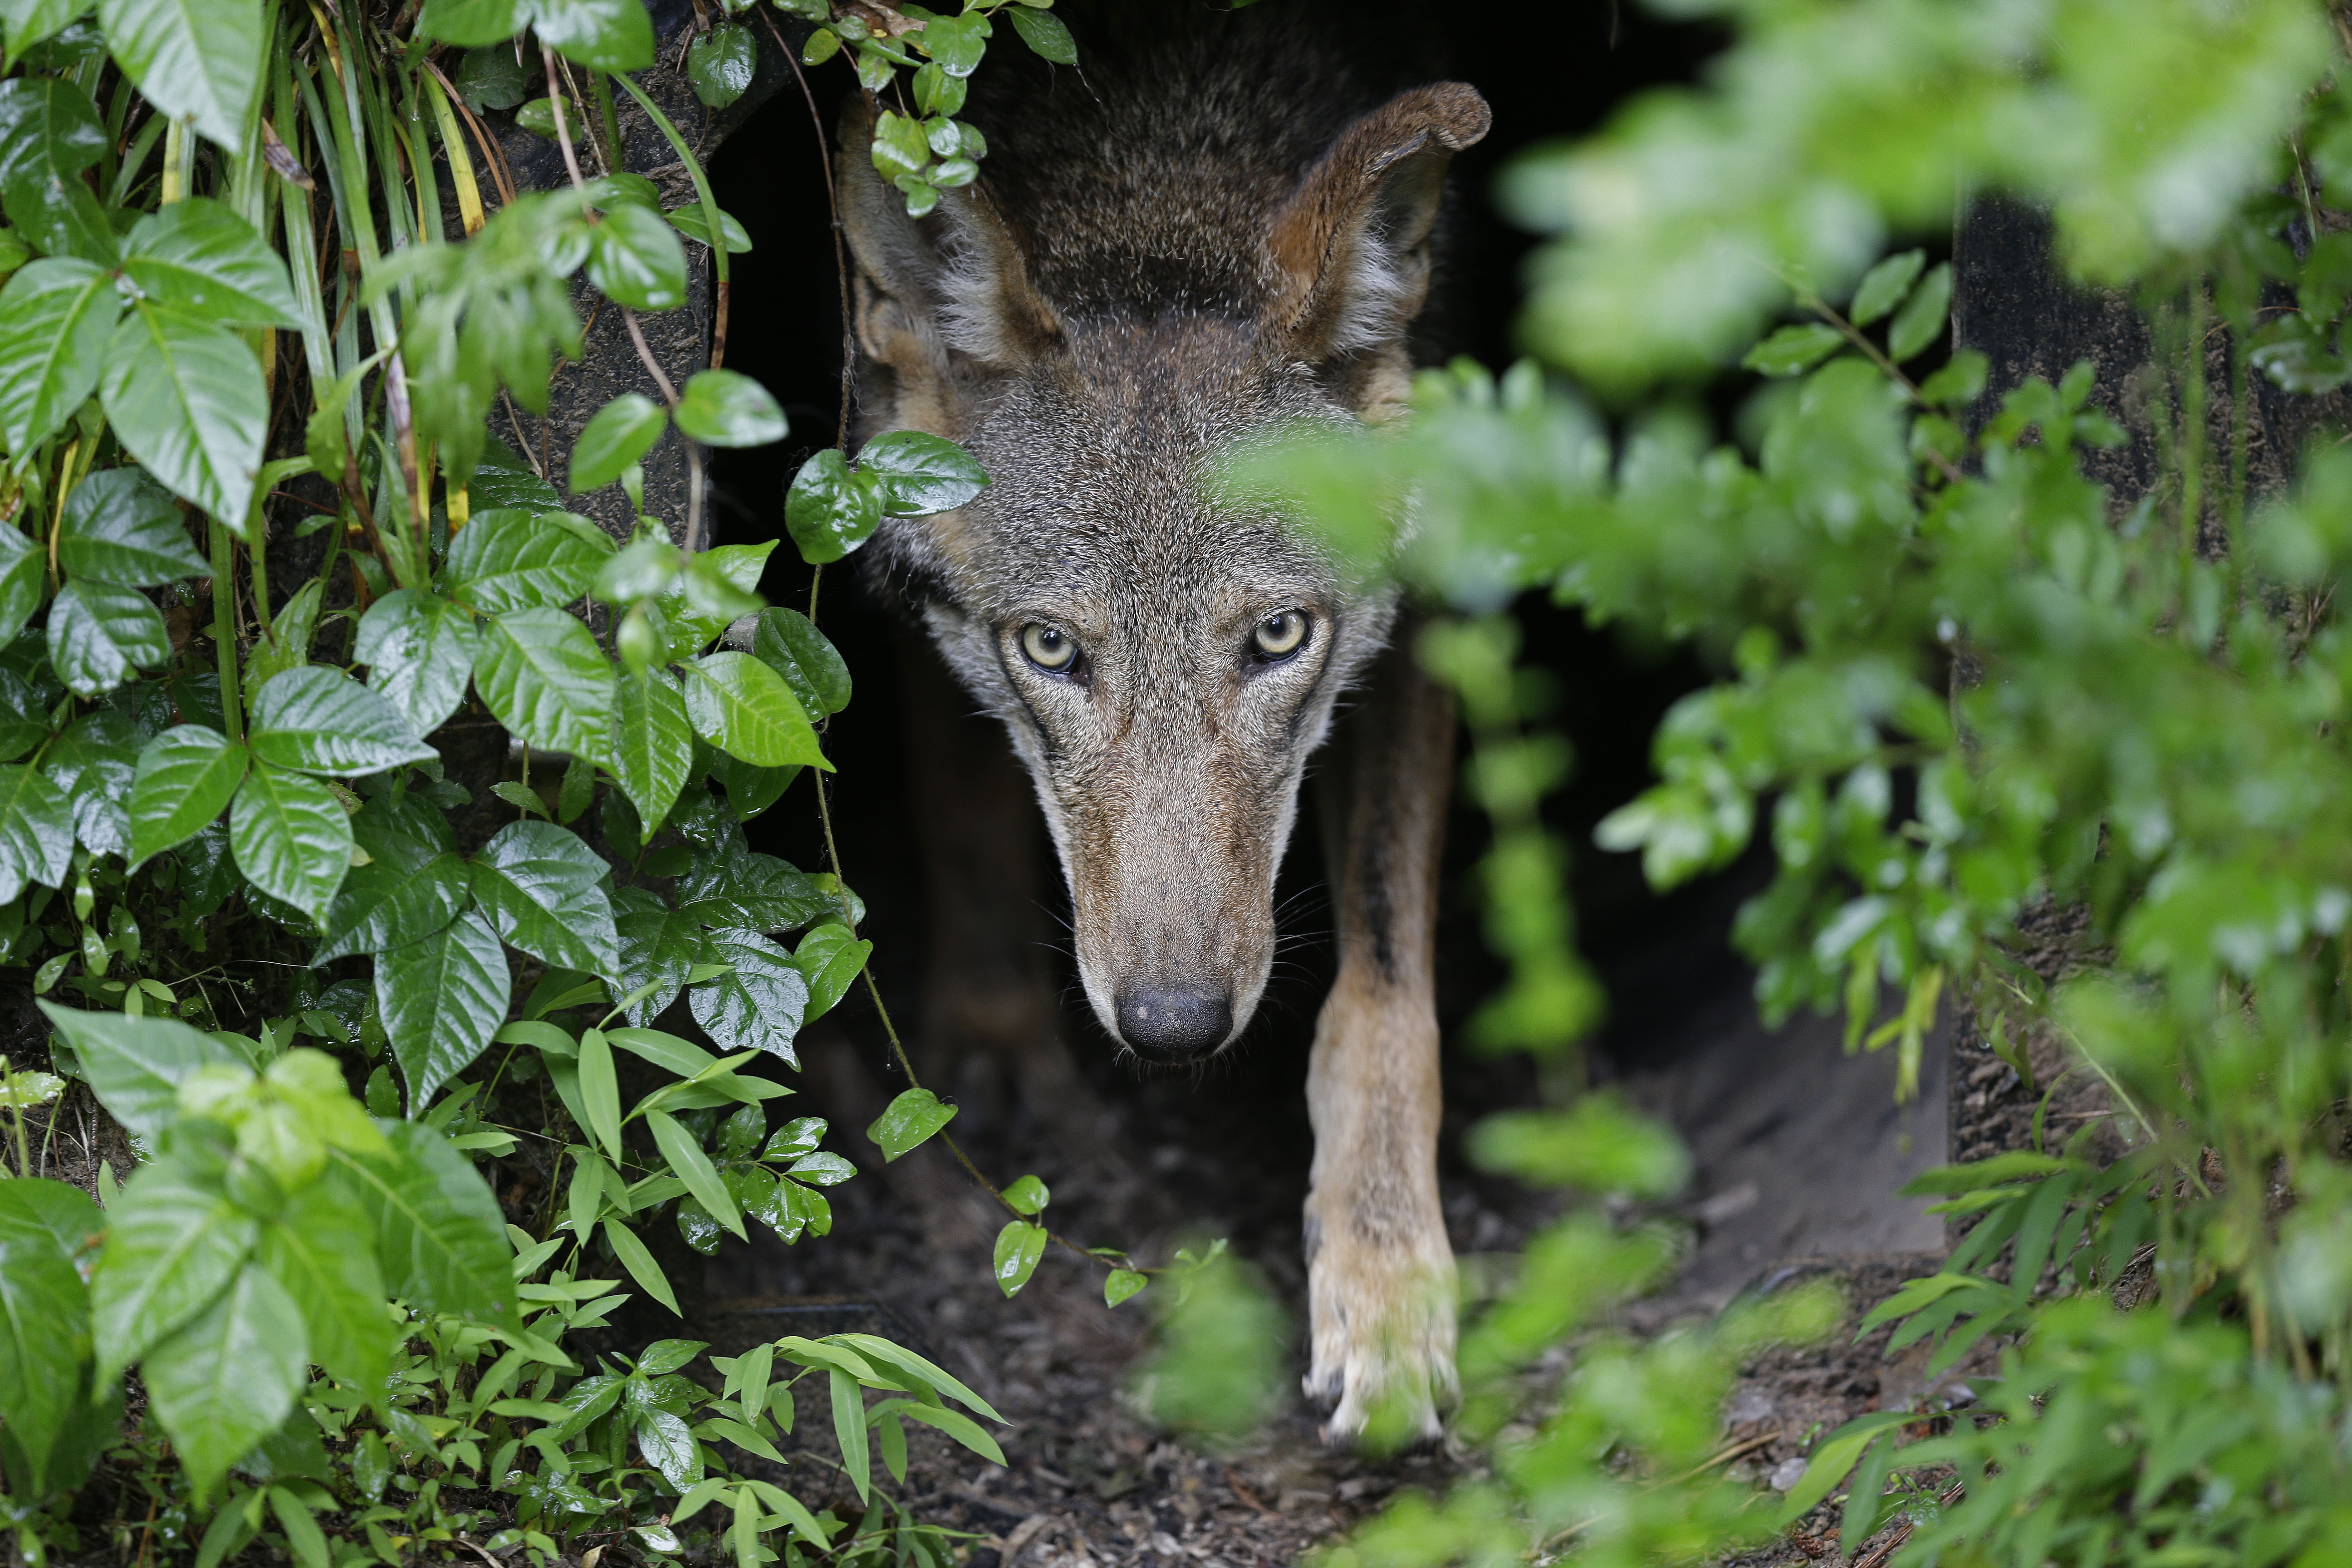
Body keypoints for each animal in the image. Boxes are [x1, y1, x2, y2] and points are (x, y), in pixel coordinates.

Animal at [837, 3, 1477, 1448]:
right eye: (1051, 649)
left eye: (1279, 638)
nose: (1173, 1026)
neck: (1160, 153)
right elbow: (961, 805)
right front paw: (996, 1037)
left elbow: (1385, 989)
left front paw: (1386, 1280)